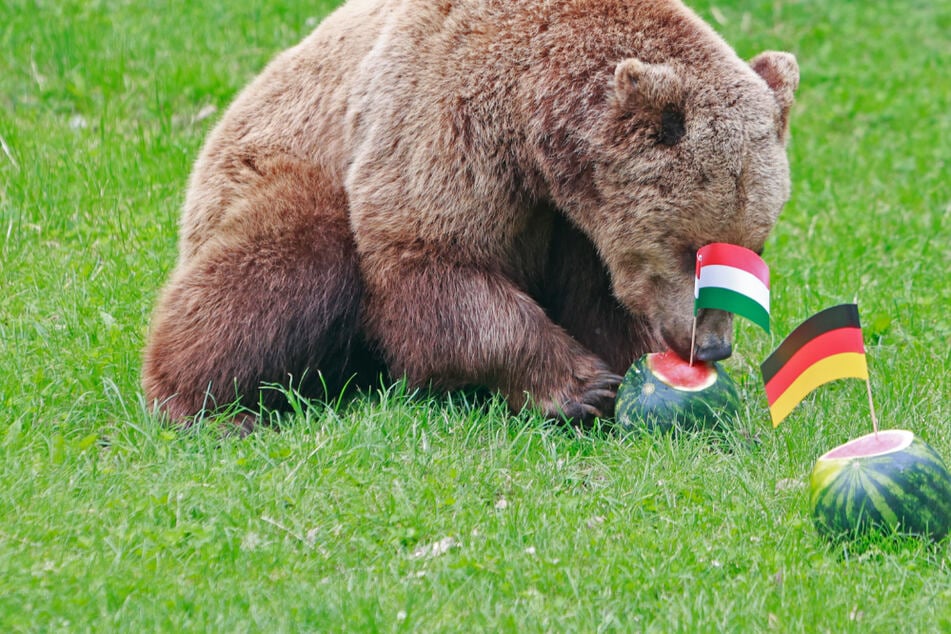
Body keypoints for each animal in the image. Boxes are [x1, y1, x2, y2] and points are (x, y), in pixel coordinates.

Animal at [143, 0, 796, 428]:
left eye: (754, 248)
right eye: (692, 251)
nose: (712, 346)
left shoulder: (576, 225)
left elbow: (598, 295)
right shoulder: (447, 114)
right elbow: (435, 259)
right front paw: (581, 386)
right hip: (281, 164)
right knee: (280, 267)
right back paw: (199, 404)